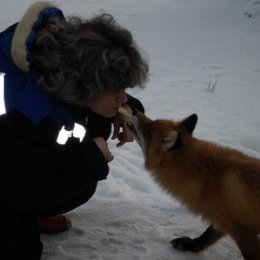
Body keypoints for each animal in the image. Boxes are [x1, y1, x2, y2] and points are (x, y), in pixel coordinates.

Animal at [126, 111, 260, 260]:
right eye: (153, 121)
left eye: (150, 127)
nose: (135, 111)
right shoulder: (224, 220)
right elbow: (206, 236)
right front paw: (188, 245)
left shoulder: (244, 232)